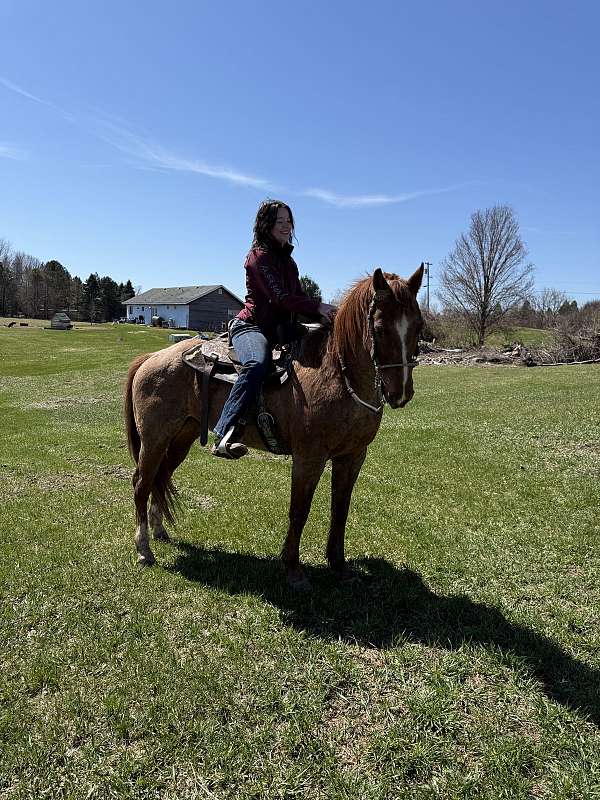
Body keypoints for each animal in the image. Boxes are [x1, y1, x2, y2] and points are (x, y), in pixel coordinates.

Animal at [124, 265, 424, 589]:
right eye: (379, 328)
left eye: (418, 326)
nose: (400, 393)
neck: (336, 374)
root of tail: (151, 358)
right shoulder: (308, 458)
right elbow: (299, 510)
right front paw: (293, 570)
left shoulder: (353, 457)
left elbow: (340, 510)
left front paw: (340, 566)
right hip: (154, 438)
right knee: (142, 482)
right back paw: (144, 549)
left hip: (182, 436)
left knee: (161, 476)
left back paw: (159, 532)